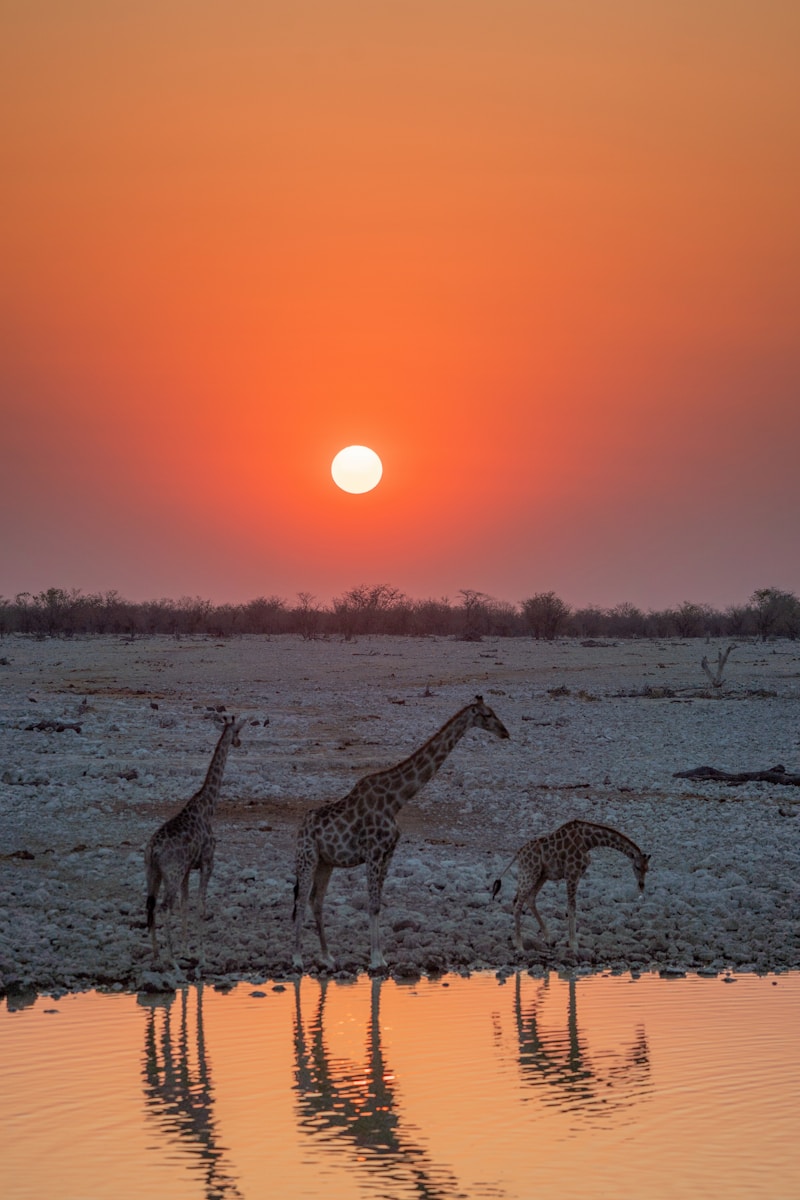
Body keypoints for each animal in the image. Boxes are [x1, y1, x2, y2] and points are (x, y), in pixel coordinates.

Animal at [144, 714, 245, 968]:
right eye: (238, 732)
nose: (238, 742)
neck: (208, 807)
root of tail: (153, 850)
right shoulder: (207, 862)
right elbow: (200, 906)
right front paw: (201, 955)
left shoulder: (189, 868)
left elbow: (185, 905)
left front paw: (186, 951)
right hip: (172, 873)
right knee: (164, 907)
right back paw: (171, 960)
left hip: (153, 872)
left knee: (150, 905)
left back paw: (157, 955)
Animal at [292, 695, 510, 972]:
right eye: (487, 715)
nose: (505, 732)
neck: (396, 800)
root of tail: (301, 826)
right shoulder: (373, 853)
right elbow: (373, 905)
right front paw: (376, 959)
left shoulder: (388, 853)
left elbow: (378, 904)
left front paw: (382, 958)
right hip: (307, 857)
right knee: (301, 900)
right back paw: (297, 959)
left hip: (325, 862)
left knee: (316, 901)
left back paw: (328, 957)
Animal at [492, 819, 650, 953]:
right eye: (637, 867)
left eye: (647, 868)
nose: (641, 885)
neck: (588, 841)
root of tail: (518, 854)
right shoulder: (572, 874)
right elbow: (572, 906)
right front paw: (573, 944)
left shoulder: (573, 874)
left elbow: (571, 907)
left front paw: (570, 942)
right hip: (529, 873)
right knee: (518, 904)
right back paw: (519, 945)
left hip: (540, 876)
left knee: (528, 899)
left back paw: (547, 938)